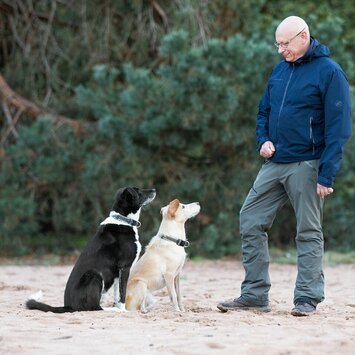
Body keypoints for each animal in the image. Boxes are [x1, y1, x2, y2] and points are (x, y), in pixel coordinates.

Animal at [25, 188, 156, 312]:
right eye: (138, 191)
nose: (154, 190)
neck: (123, 220)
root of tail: (69, 306)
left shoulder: (117, 273)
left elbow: (117, 295)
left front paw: (120, 308)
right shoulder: (124, 267)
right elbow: (122, 294)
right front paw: (123, 311)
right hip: (94, 275)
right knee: (95, 307)